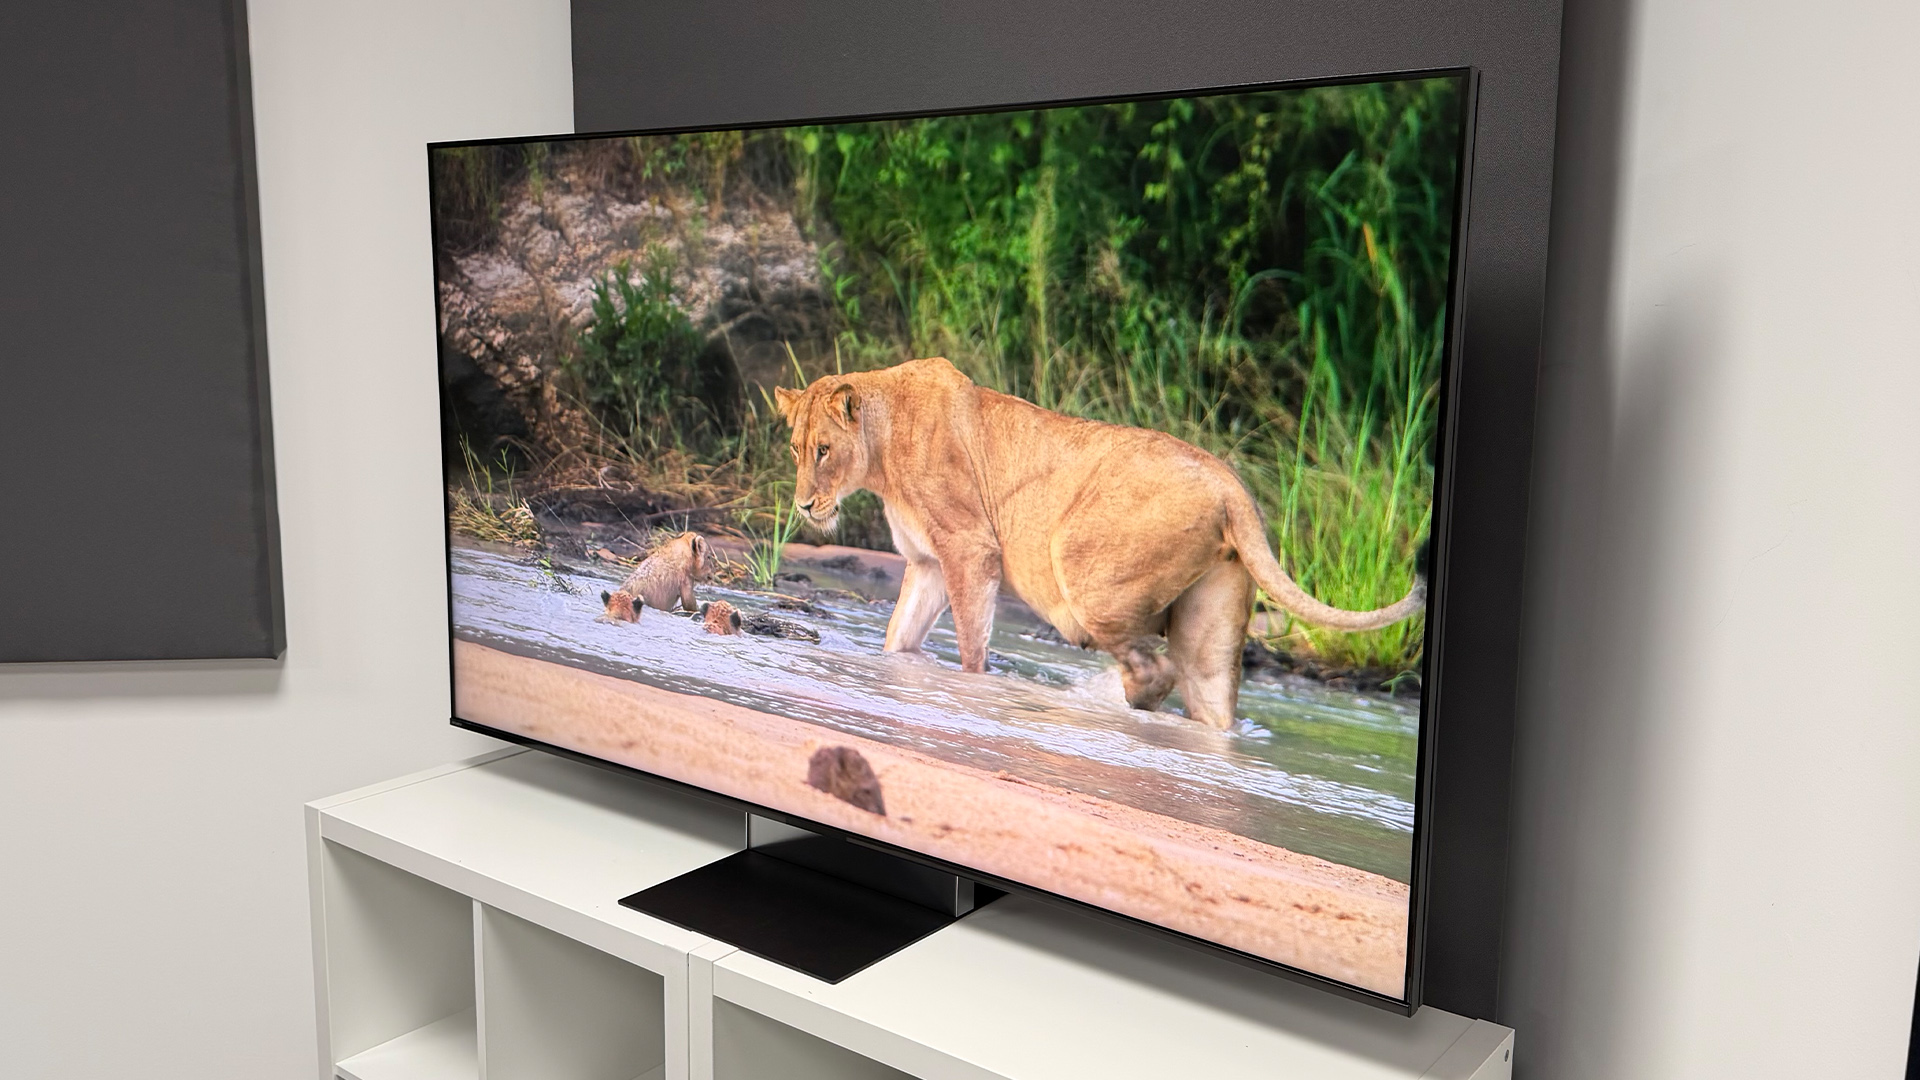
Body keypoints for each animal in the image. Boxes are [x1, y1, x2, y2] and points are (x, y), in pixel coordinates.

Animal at [774, 357, 1425, 729]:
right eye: (796, 450)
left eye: (824, 451)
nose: (804, 506)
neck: (881, 450)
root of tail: (1230, 485)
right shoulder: (929, 563)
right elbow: (898, 637)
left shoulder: (970, 549)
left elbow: (972, 648)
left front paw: (972, 690)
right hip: (1212, 621)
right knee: (1209, 700)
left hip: (1085, 571)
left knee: (1152, 669)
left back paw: (1108, 706)